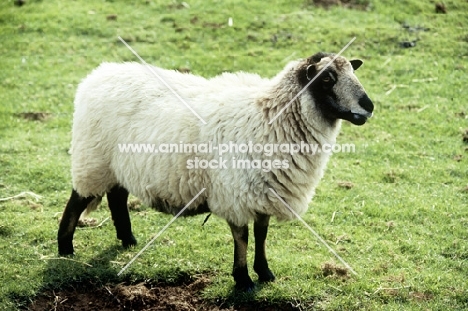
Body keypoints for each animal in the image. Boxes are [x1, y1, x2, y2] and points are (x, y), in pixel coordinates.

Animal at [57, 51, 372, 292]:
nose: (368, 107)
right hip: (93, 160)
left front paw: (265, 273)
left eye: (352, 73)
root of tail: (99, 74)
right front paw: (243, 280)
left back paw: (128, 240)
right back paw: (65, 250)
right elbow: (242, 237)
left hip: (118, 166)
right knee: (77, 201)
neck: (270, 115)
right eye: (327, 79)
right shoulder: (236, 193)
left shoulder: (265, 191)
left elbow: (262, 234)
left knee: (117, 197)